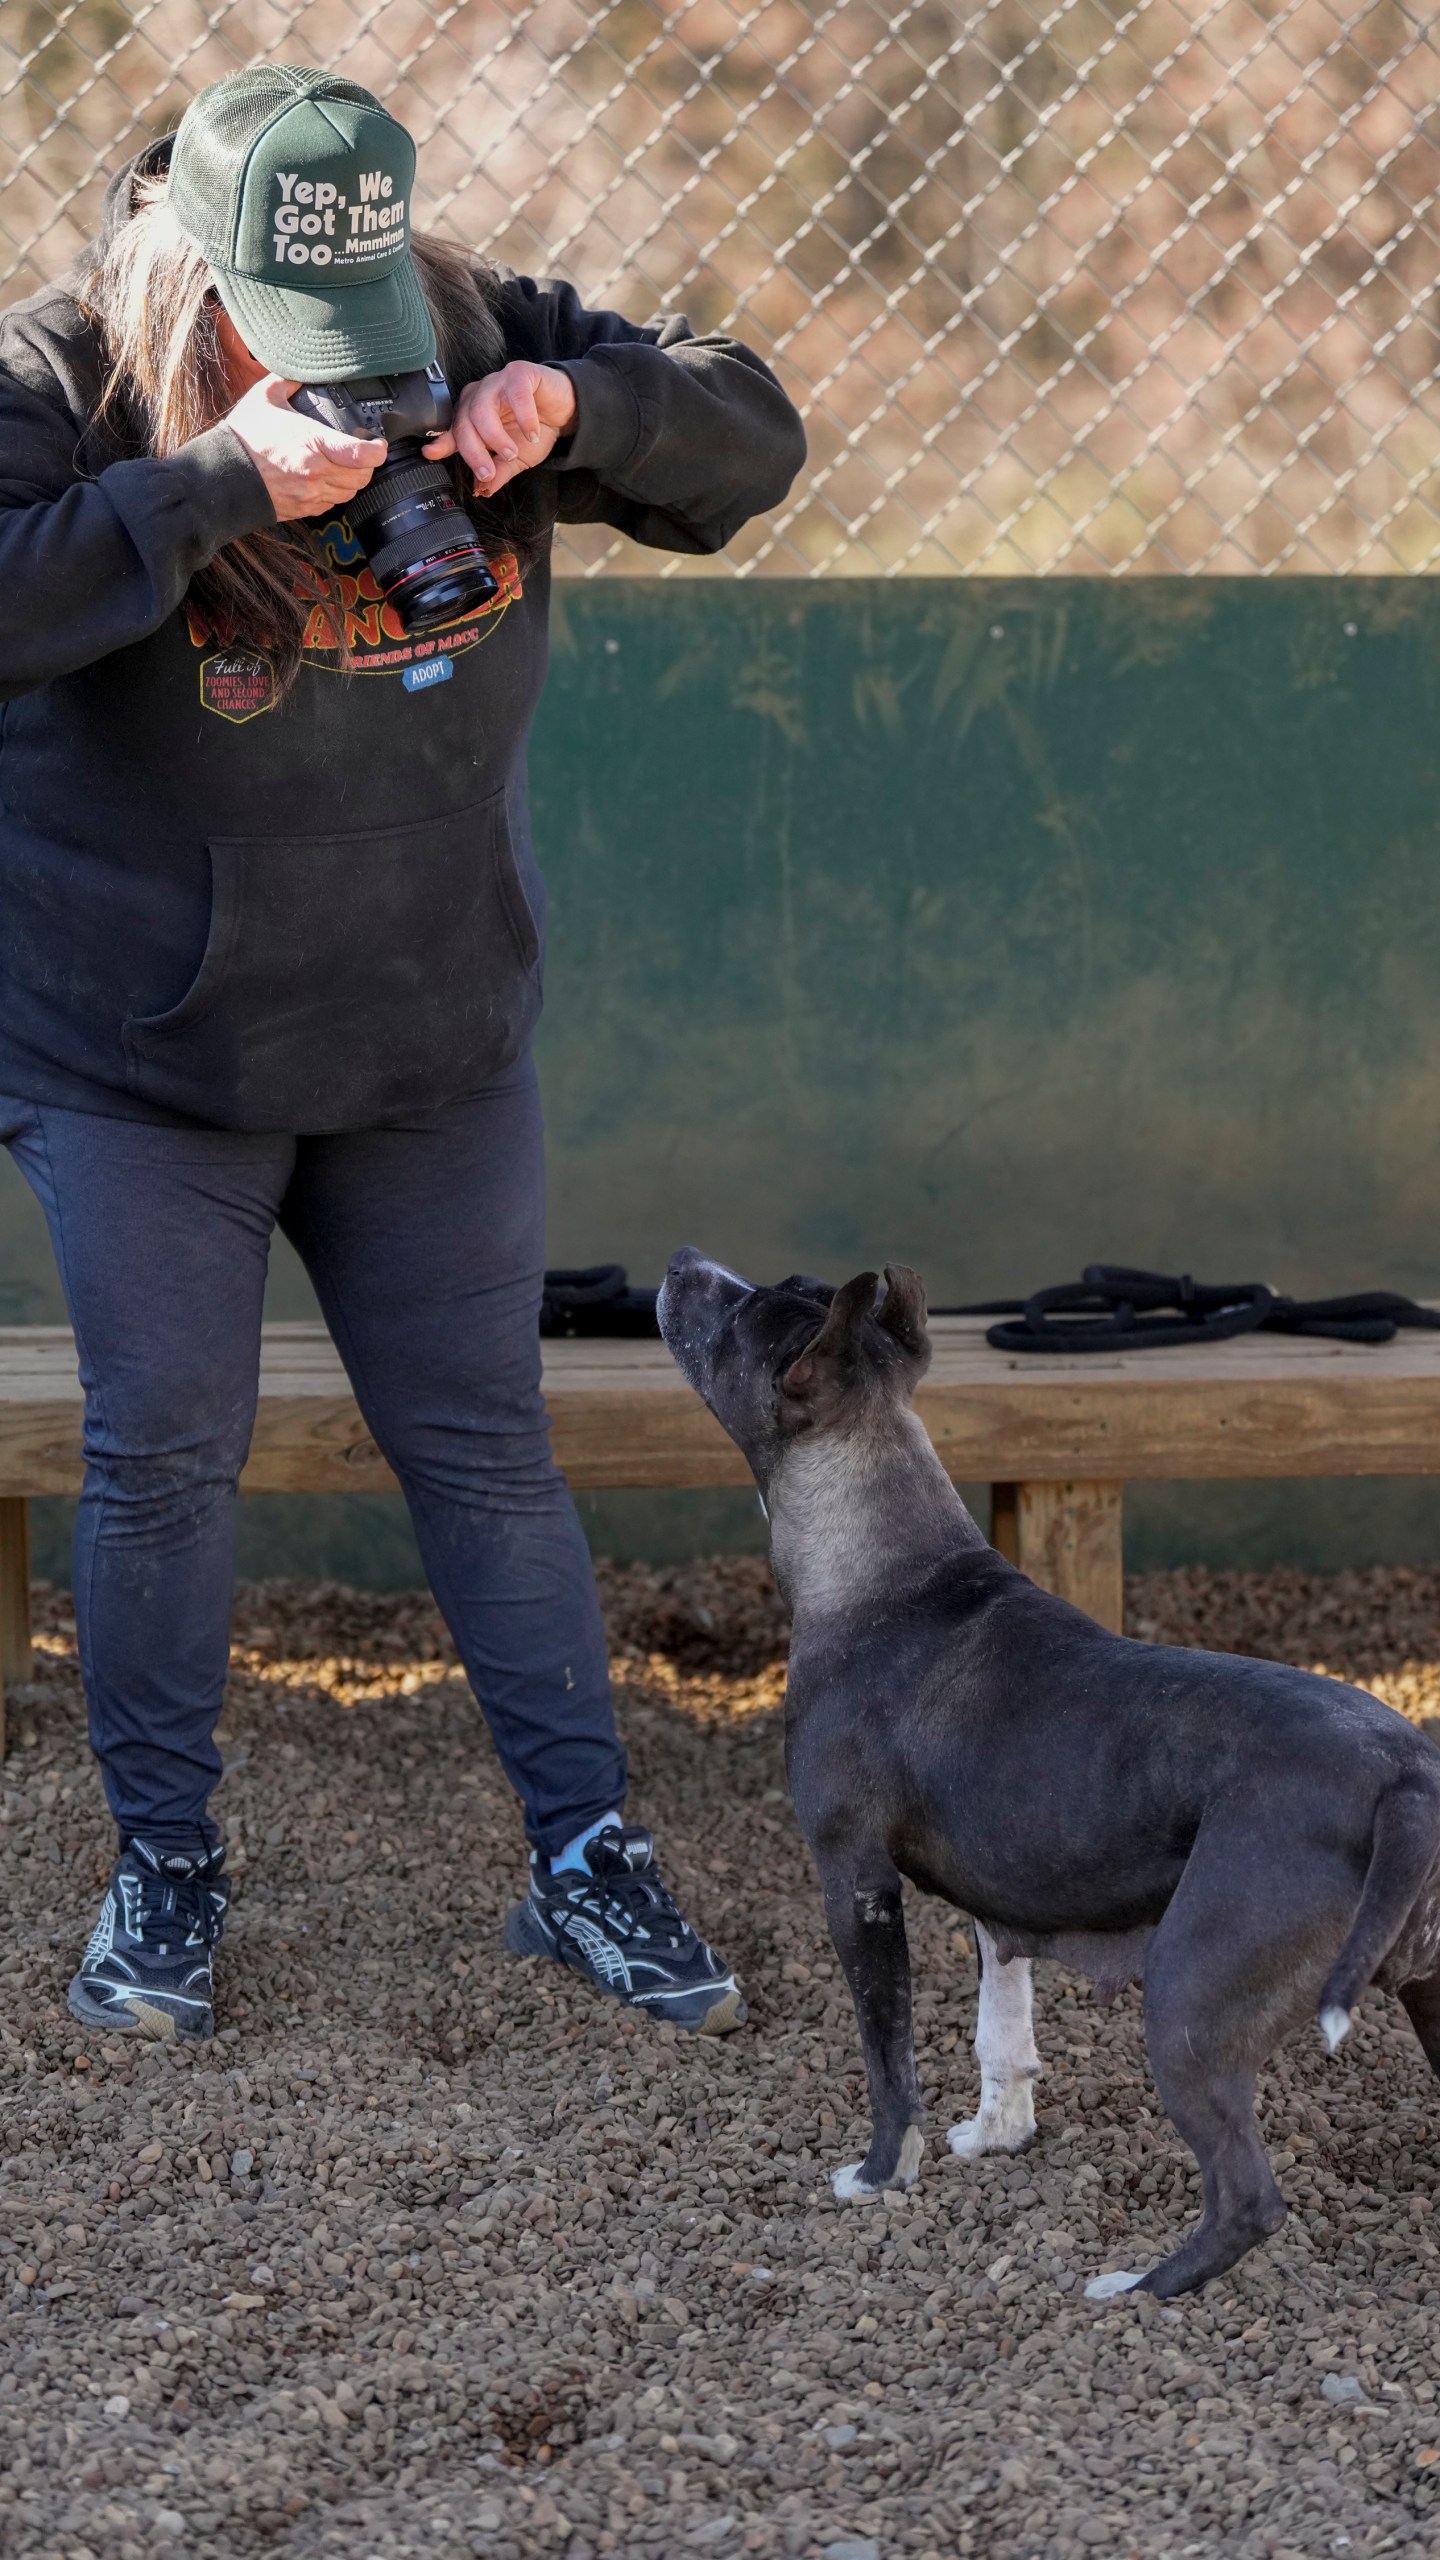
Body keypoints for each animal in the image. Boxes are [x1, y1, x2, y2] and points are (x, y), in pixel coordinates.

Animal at [655, 1254, 1434, 2304]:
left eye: (740, 1318)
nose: (683, 1264)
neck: (884, 1572)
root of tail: (1405, 1776)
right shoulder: (1002, 1908)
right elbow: (1002, 2033)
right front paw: (997, 2137)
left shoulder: (853, 1880)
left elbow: (886, 2050)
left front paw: (881, 2174)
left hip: (1186, 2004)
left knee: (1248, 2196)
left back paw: (1137, 2291)